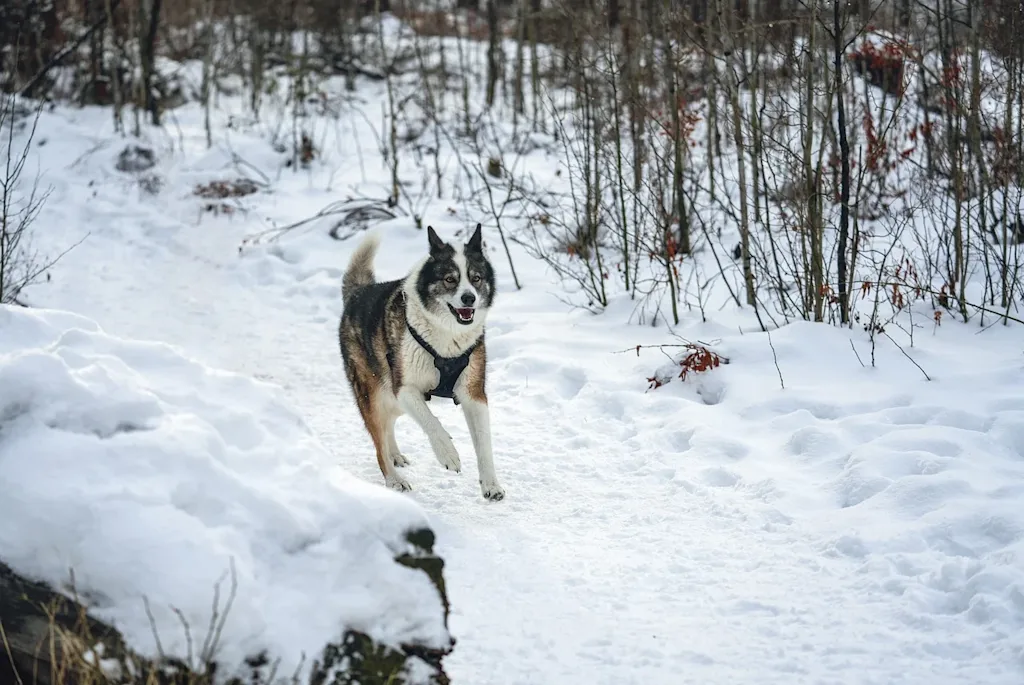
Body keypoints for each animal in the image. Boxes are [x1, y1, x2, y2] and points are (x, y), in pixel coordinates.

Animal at [342, 225, 505, 501]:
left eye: (476, 278)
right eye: (450, 279)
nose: (469, 298)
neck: (447, 337)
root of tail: (357, 293)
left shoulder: (473, 393)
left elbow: (484, 443)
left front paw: (491, 484)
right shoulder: (405, 388)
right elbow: (431, 421)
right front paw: (448, 453)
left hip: (390, 398)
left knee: (388, 425)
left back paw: (395, 454)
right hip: (374, 393)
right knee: (379, 443)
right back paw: (394, 479)